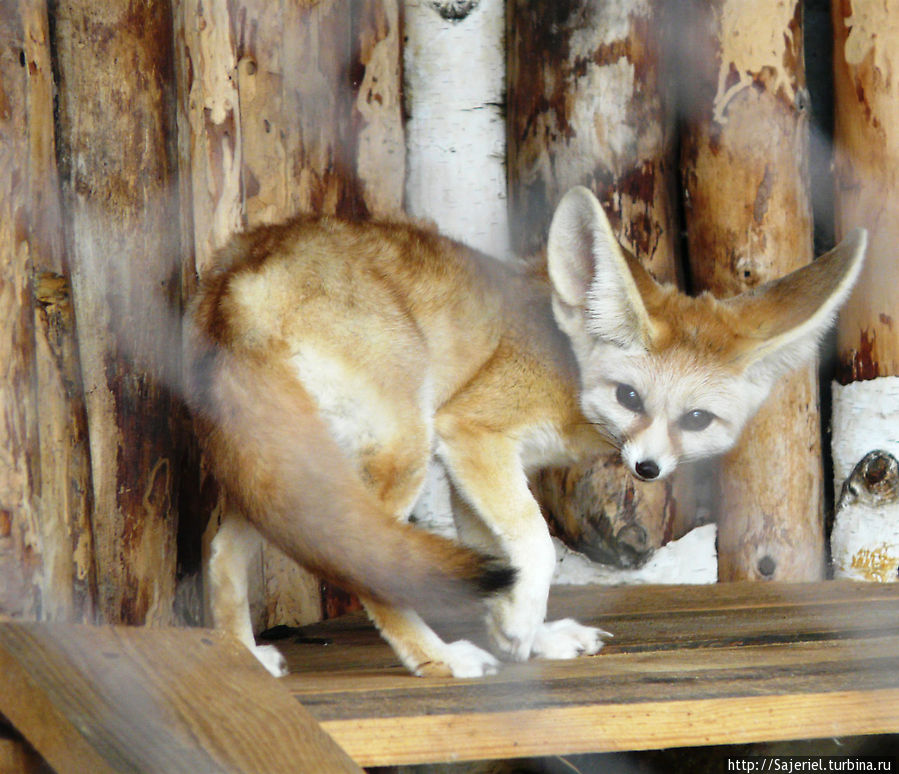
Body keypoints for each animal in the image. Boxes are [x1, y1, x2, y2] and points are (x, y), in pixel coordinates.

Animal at [188, 188, 864, 680]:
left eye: (696, 420)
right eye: (629, 398)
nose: (646, 468)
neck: (565, 363)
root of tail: (243, 269)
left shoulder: (474, 477)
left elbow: (506, 560)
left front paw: (528, 634)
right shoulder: (471, 435)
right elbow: (535, 547)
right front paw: (517, 628)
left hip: (290, 468)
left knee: (222, 549)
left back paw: (243, 655)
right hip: (401, 450)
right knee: (362, 565)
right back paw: (438, 659)